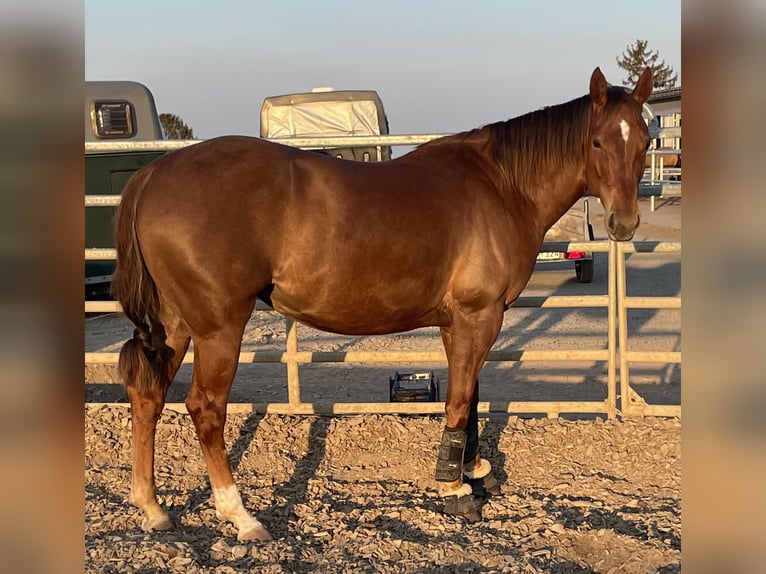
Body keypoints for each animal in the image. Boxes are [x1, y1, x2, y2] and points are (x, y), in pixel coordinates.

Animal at [112, 68, 656, 544]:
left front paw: (474, 469)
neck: (501, 186)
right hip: (218, 326)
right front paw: (455, 489)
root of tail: (153, 173)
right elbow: (460, 399)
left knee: (148, 395)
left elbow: (469, 396)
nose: (624, 223)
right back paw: (240, 516)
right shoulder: (479, 315)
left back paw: (152, 508)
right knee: (205, 408)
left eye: (646, 141)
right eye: (598, 142)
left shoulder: (460, 321)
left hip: (176, 324)